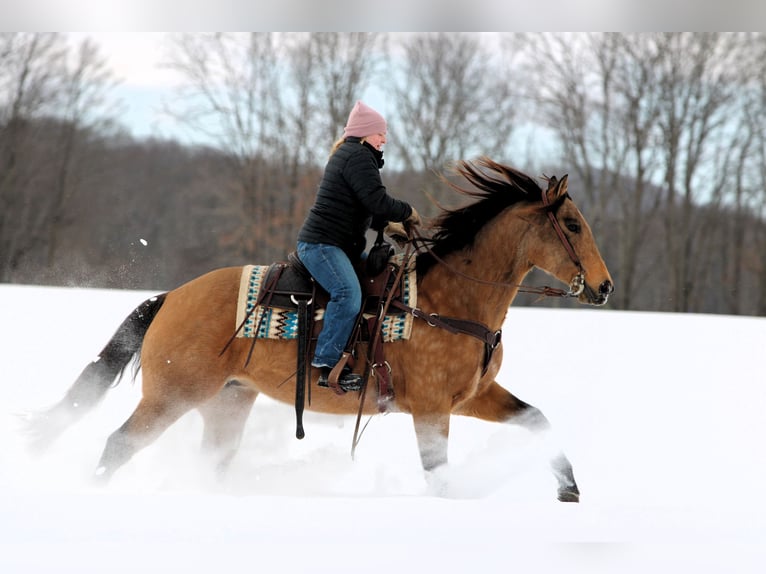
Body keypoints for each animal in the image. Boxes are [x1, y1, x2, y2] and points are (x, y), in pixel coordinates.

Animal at [33, 157, 613, 502]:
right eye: (574, 225)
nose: (604, 287)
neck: (447, 302)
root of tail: (172, 296)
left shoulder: (472, 397)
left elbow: (537, 419)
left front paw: (569, 488)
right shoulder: (431, 409)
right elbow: (439, 474)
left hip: (227, 401)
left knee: (211, 461)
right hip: (171, 396)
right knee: (118, 445)